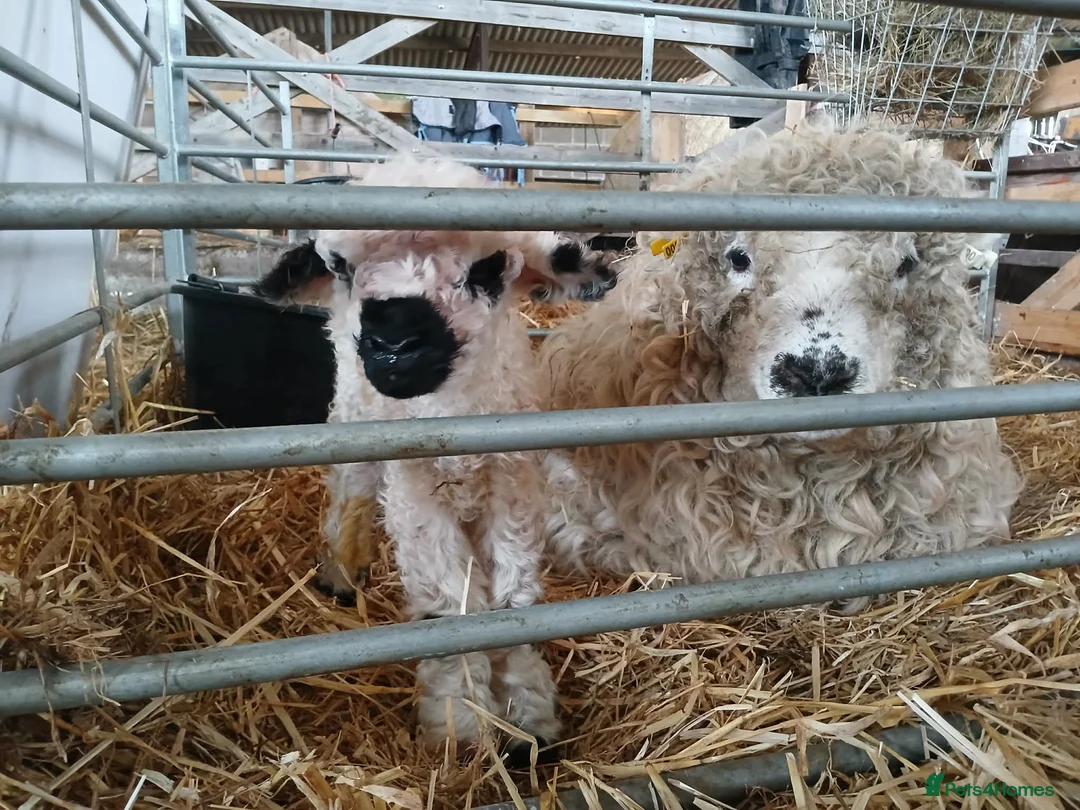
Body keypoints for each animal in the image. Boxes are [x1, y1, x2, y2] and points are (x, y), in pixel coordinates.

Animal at [252, 155, 618, 762]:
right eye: (341, 267)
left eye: (489, 269)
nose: (394, 343)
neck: (454, 427)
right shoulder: (416, 496)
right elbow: (452, 608)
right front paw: (462, 725)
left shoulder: (513, 485)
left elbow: (513, 599)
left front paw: (529, 720)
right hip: (354, 417)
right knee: (351, 493)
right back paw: (342, 570)